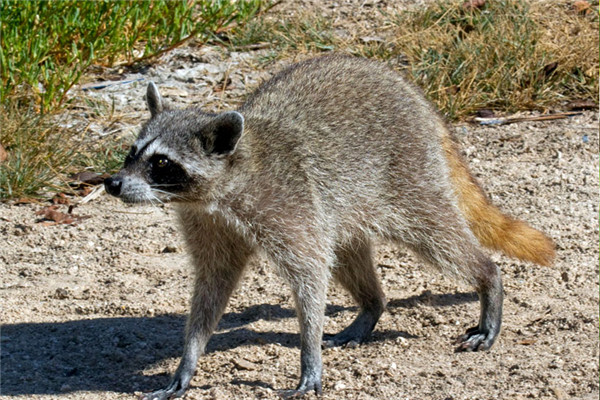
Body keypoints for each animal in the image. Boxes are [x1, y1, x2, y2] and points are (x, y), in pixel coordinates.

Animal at [103, 54, 552, 398]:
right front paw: (188, 360)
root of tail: (411, 92)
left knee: (434, 233)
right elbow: (212, 287)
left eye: (162, 162)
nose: (112, 183)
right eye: (131, 152)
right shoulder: (210, 223)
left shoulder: (286, 205)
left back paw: (488, 281)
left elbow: (310, 275)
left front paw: (309, 356)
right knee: (349, 254)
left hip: (406, 173)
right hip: (345, 204)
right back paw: (372, 305)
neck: (216, 192)